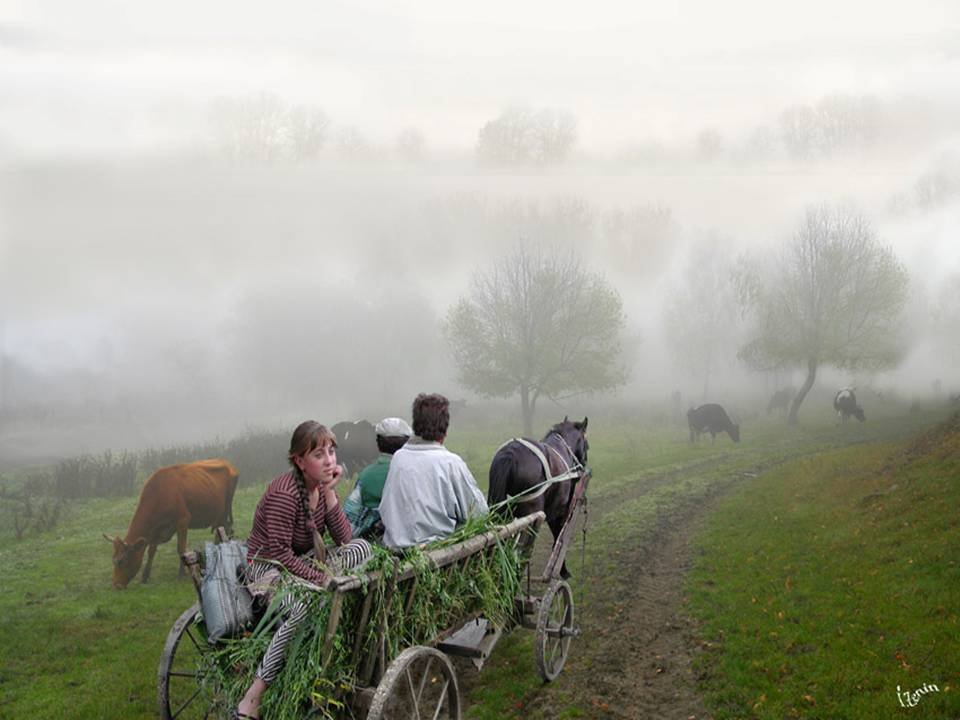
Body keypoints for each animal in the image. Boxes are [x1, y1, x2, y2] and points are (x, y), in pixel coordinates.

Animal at [102, 458, 238, 588]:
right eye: (113, 560)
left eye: (121, 561)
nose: (116, 585)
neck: (160, 493)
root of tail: (227, 463)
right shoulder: (157, 529)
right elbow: (151, 551)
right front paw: (145, 577)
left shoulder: (183, 521)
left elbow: (181, 548)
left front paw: (181, 574)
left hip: (225, 509)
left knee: (224, 531)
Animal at [488, 416, 584, 580]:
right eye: (587, 445)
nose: (582, 466)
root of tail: (510, 454)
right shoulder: (560, 512)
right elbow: (558, 540)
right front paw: (562, 571)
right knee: (520, 553)